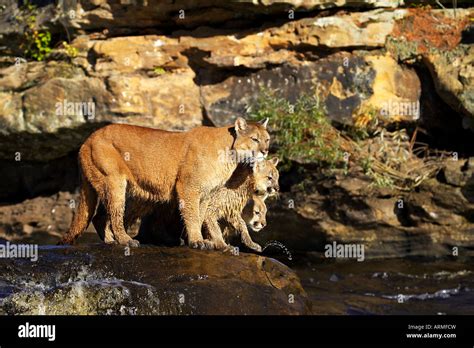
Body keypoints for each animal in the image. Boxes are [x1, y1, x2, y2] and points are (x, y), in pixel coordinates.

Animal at [59, 118, 270, 249]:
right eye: (255, 139)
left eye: (267, 139)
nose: (266, 151)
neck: (229, 152)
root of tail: (87, 139)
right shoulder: (188, 187)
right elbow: (192, 215)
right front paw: (197, 241)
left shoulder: (206, 193)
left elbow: (201, 215)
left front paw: (204, 241)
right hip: (114, 182)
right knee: (115, 214)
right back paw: (125, 240)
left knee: (100, 216)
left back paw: (111, 241)